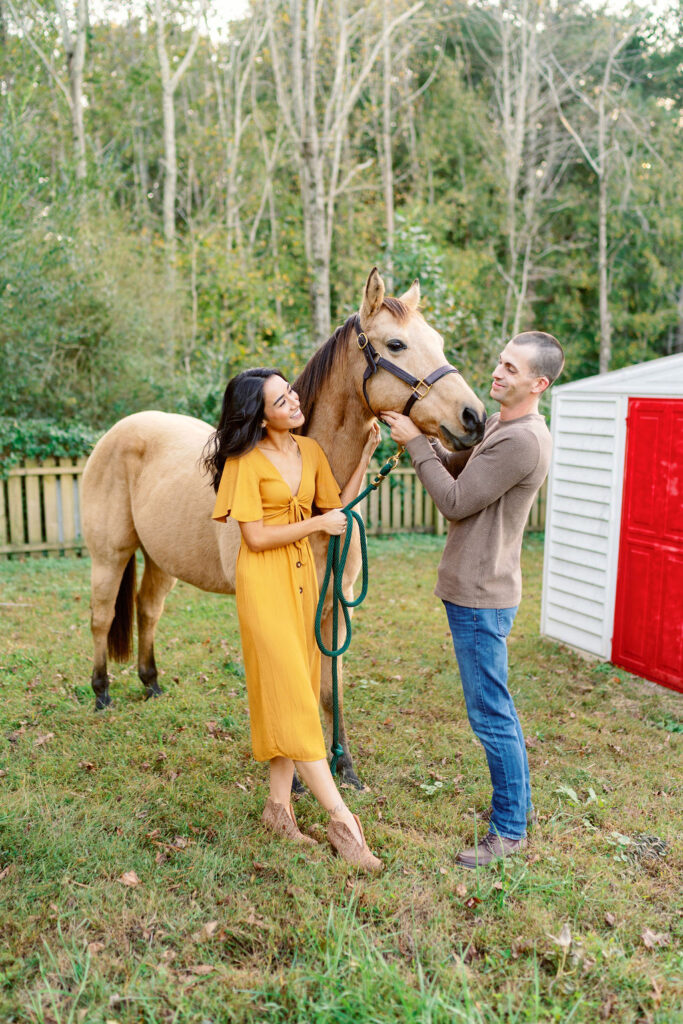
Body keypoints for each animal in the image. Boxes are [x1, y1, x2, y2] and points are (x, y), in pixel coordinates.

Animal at [81, 268, 485, 786]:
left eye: (438, 341)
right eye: (396, 344)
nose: (473, 417)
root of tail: (119, 431)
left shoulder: (335, 604)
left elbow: (330, 687)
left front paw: (344, 766)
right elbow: (295, 685)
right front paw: (296, 774)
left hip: (160, 560)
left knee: (148, 611)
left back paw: (151, 685)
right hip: (109, 556)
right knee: (101, 618)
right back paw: (101, 694)